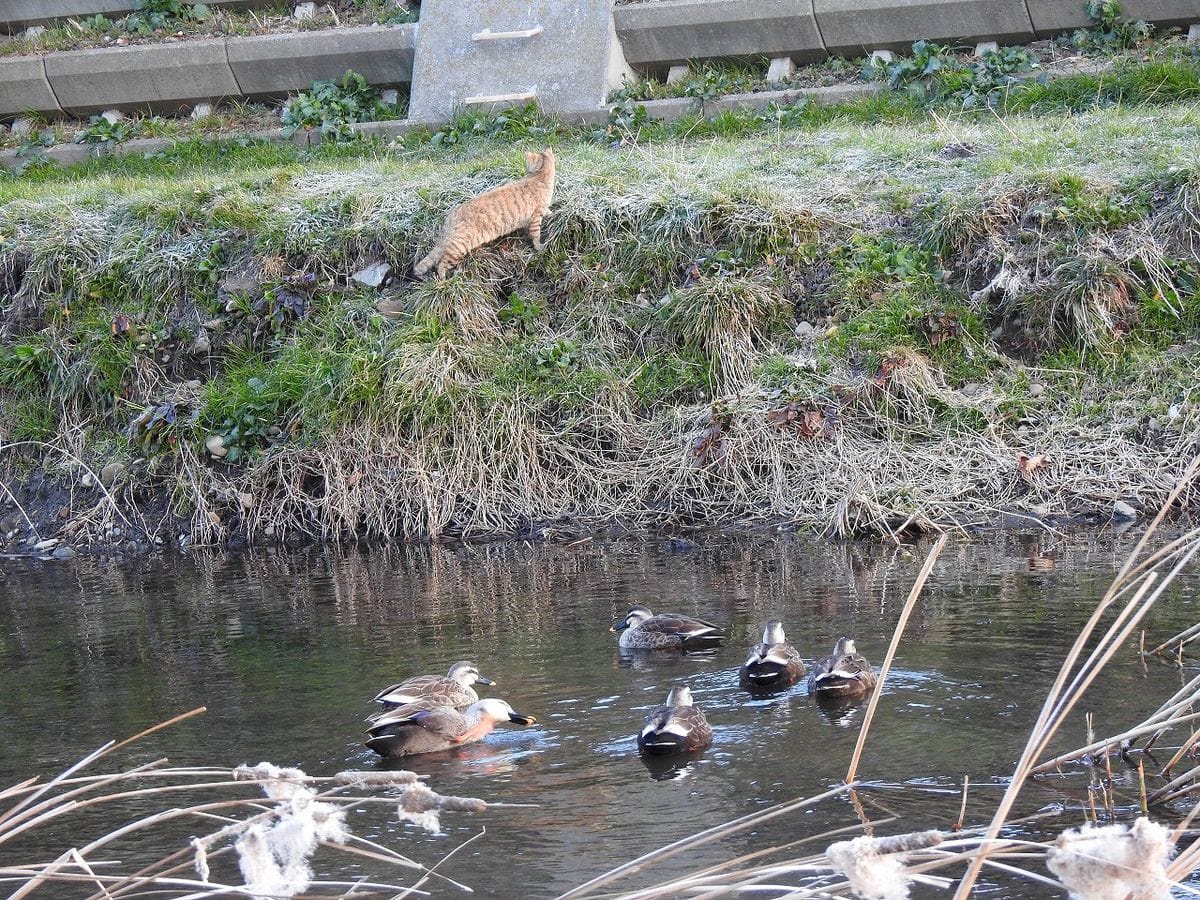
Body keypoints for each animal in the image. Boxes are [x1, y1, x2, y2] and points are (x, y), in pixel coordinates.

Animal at [415, 146, 554, 278]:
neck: (538, 177)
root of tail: (451, 216)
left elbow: (548, 212)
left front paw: (552, 213)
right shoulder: (536, 217)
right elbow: (536, 235)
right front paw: (540, 247)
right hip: (459, 247)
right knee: (441, 264)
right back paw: (445, 279)